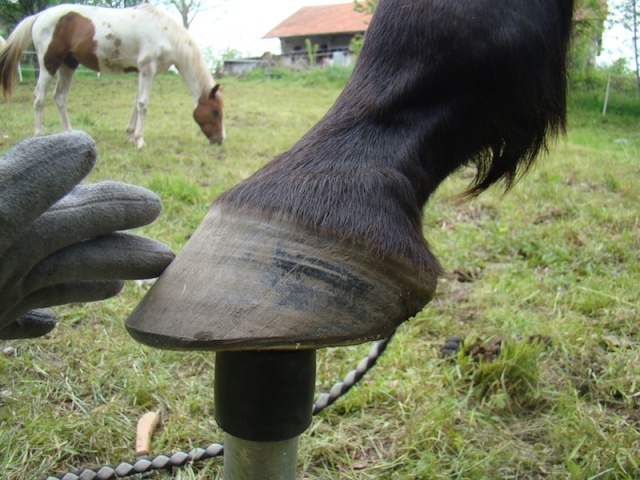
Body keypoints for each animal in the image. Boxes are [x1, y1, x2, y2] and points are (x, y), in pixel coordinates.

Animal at [0, 3, 225, 146]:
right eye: (215, 111)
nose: (220, 140)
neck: (165, 32)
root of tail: (39, 16)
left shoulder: (143, 72)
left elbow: (136, 103)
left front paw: (130, 135)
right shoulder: (147, 69)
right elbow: (143, 104)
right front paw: (140, 139)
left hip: (68, 65)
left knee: (60, 97)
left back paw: (69, 133)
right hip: (49, 64)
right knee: (39, 98)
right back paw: (38, 134)